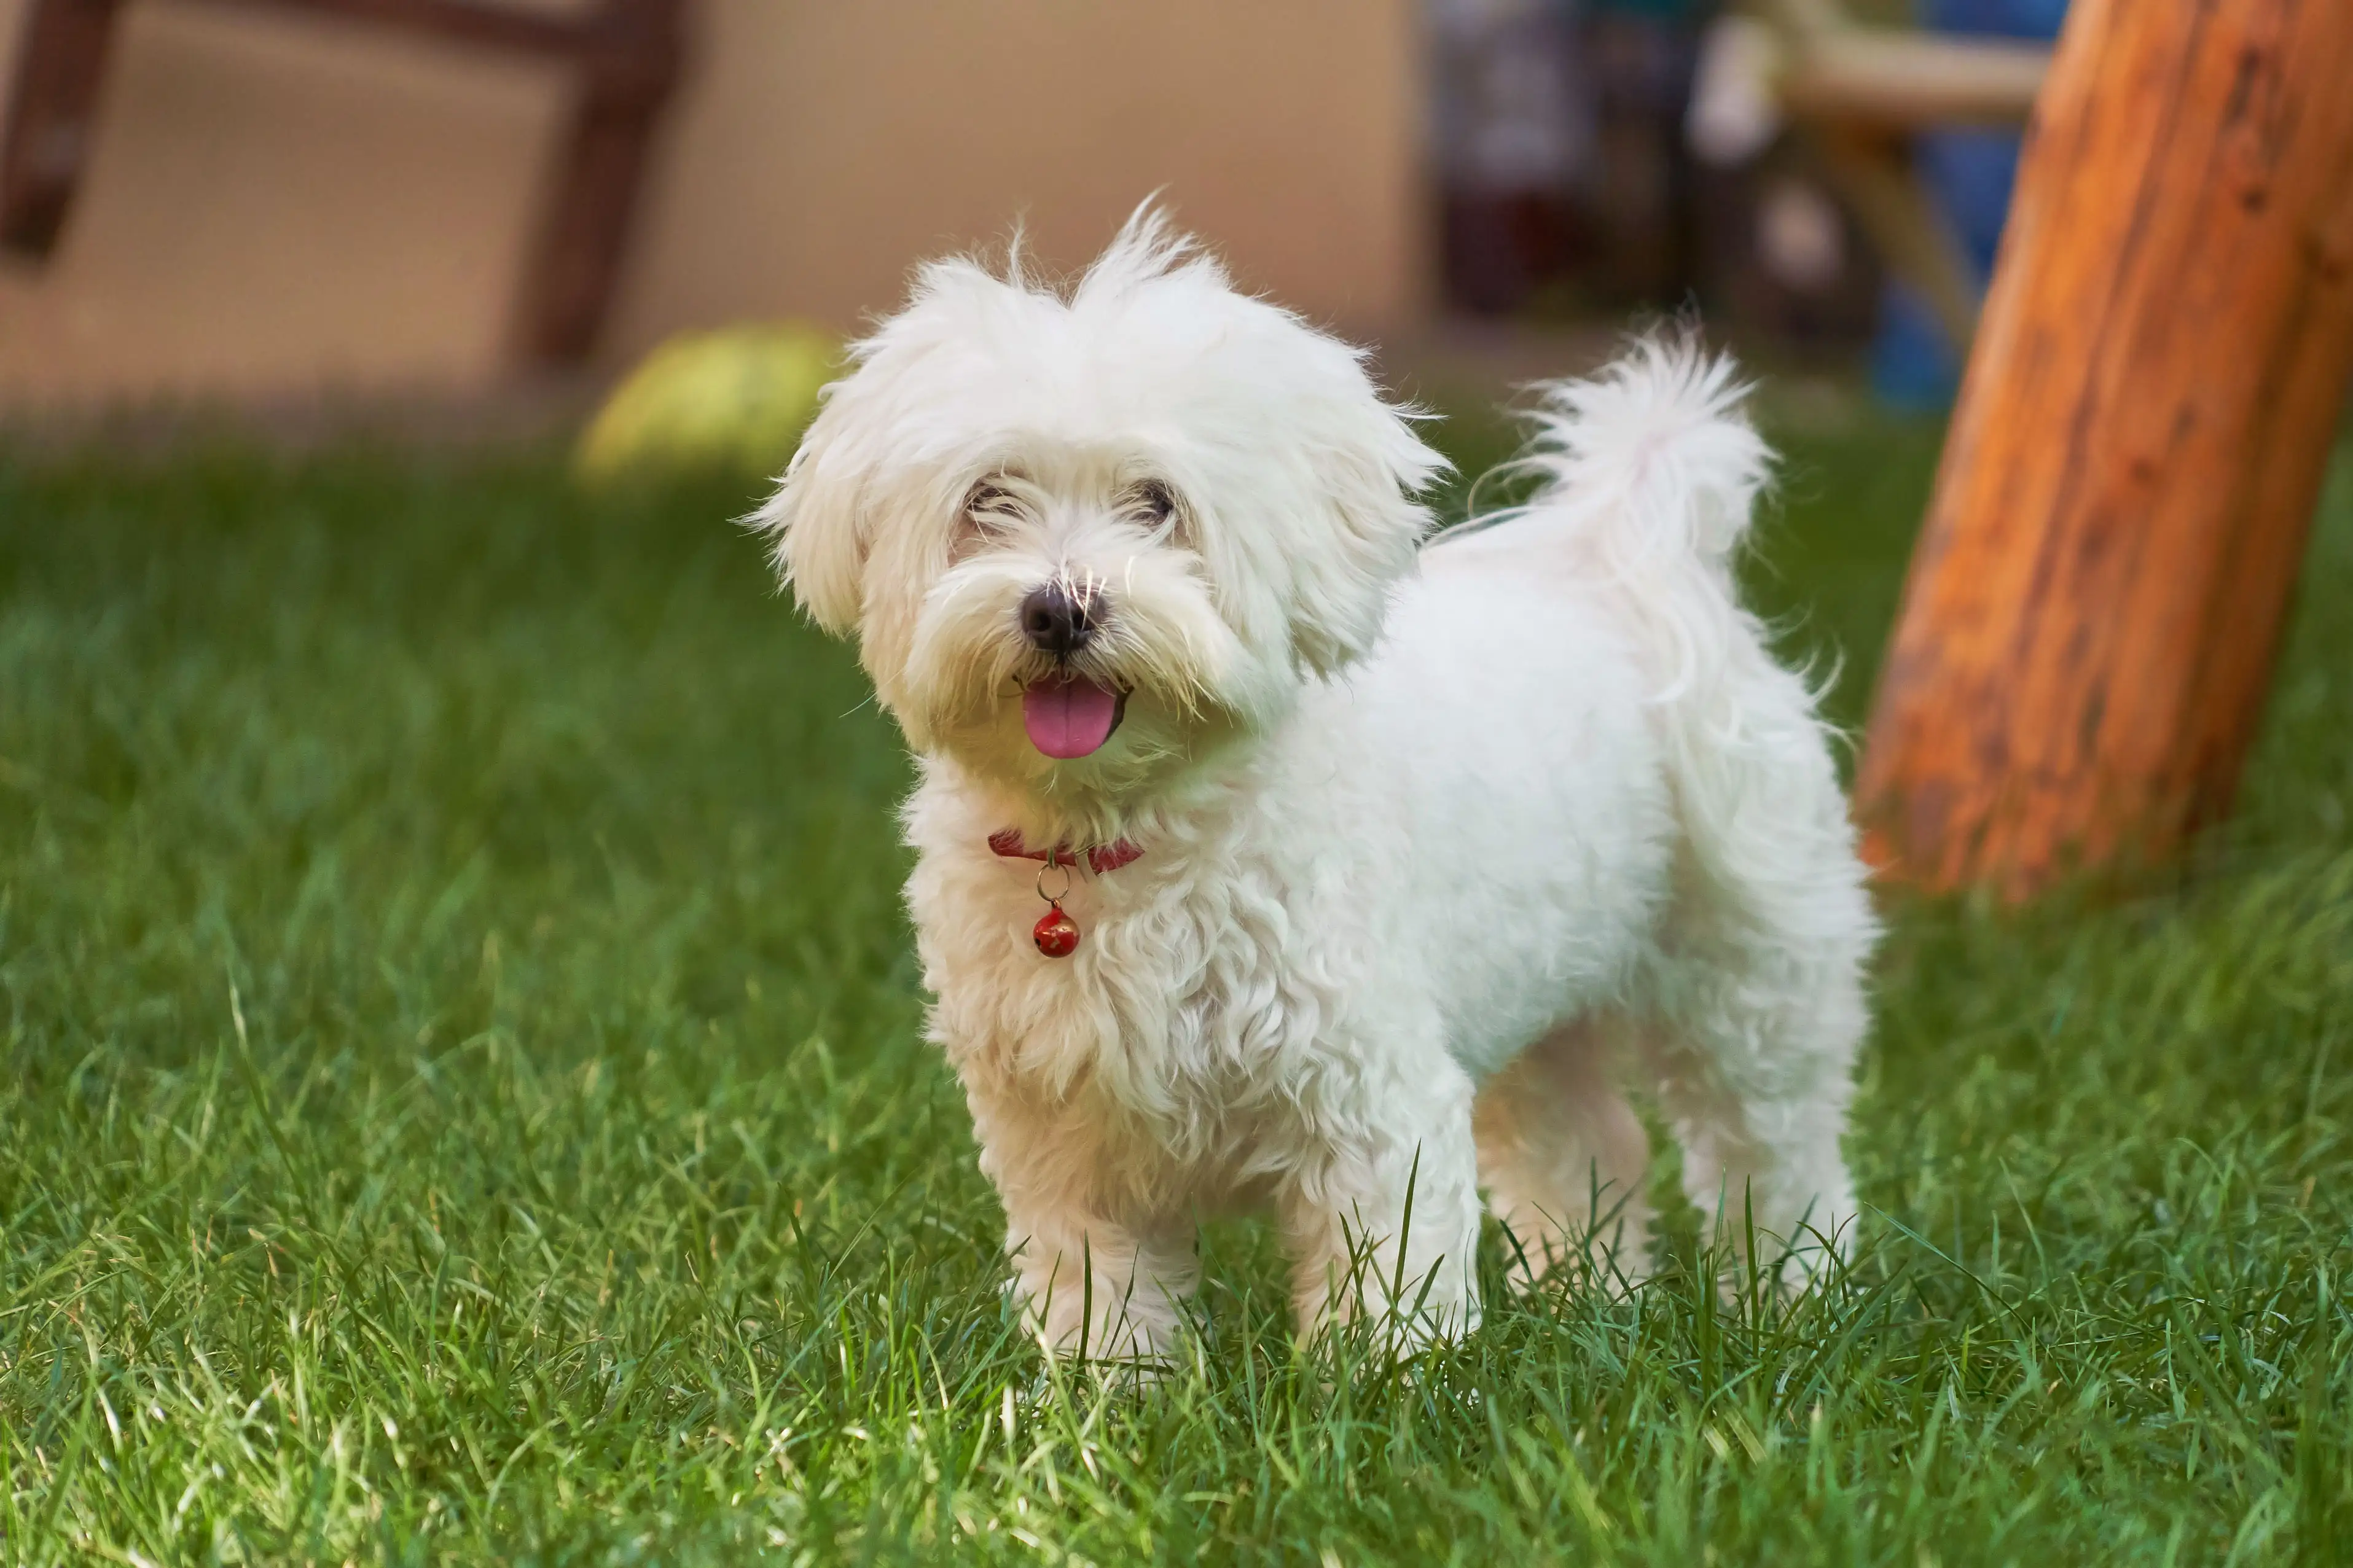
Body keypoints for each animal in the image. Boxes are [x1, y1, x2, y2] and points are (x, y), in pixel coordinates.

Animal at [762, 208, 1882, 1363]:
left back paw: (1796, 1298)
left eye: (1157, 502)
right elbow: (1102, 1287)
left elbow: (1387, 1271)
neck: (1133, 830)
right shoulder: (1064, 1136)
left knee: (1775, 1146)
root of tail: (1621, 557)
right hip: (1539, 992)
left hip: (1751, 968)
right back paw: (1588, 1295)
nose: (1059, 607)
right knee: (1586, 1140)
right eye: (988, 499)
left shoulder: (1369, 1097)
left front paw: (1391, 1386)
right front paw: (1112, 1390)